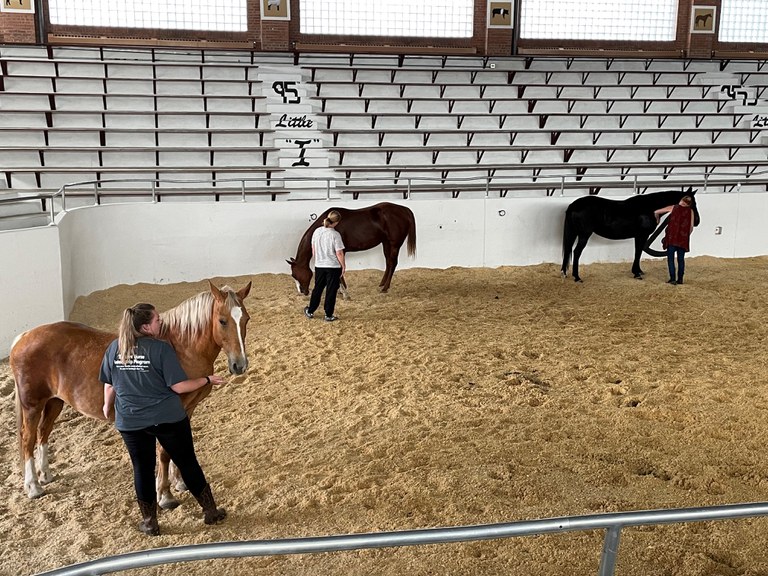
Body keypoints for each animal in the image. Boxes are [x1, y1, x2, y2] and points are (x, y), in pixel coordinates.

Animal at [10, 280, 251, 507]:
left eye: (246, 319)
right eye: (222, 321)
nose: (239, 365)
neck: (180, 348)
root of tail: (24, 336)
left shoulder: (187, 409)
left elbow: (178, 447)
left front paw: (179, 482)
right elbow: (164, 453)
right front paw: (164, 495)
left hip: (54, 402)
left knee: (43, 432)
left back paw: (45, 475)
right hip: (32, 405)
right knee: (28, 439)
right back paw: (33, 486)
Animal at [287, 202, 417, 295]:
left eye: (295, 275)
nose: (302, 292)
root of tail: (404, 210)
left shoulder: (340, 251)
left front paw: (342, 289)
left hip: (394, 244)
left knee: (393, 263)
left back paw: (385, 288)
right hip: (386, 243)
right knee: (388, 262)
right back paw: (382, 284)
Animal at [561, 188, 700, 282]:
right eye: (692, 203)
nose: (697, 221)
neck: (650, 207)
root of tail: (573, 205)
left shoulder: (639, 236)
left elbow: (638, 251)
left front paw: (638, 271)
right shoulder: (642, 235)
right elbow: (638, 252)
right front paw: (637, 273)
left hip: (574, 233)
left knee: (568, 250)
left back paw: (565, 273)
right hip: (584, 235)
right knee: (576, 252)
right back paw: (577, 277)